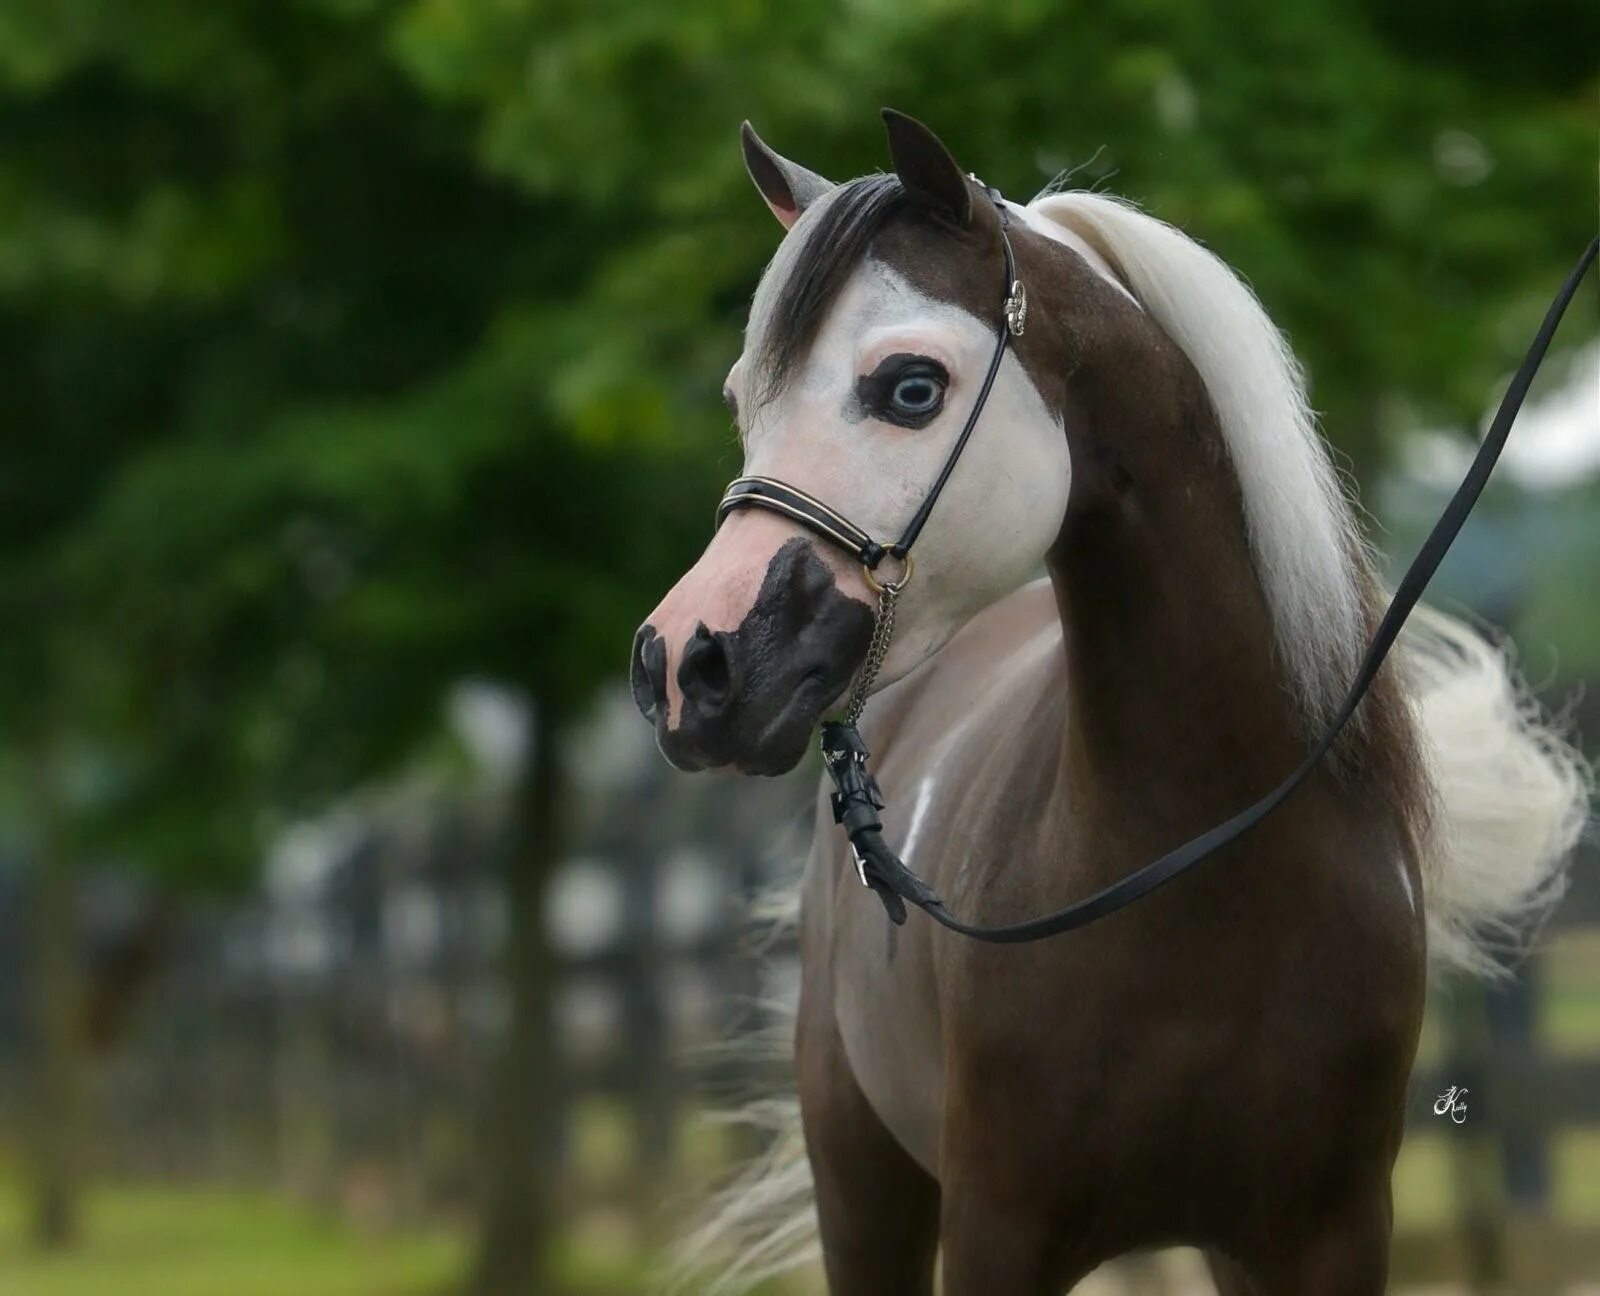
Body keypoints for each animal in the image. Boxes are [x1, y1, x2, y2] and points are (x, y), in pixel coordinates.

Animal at [630, 113, 1580, 1292]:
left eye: (910, 388)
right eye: (741, 401)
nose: (686, 663)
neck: (1212, 880)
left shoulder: (1324, 1233)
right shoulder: (998, 1228)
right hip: (862, 1182)